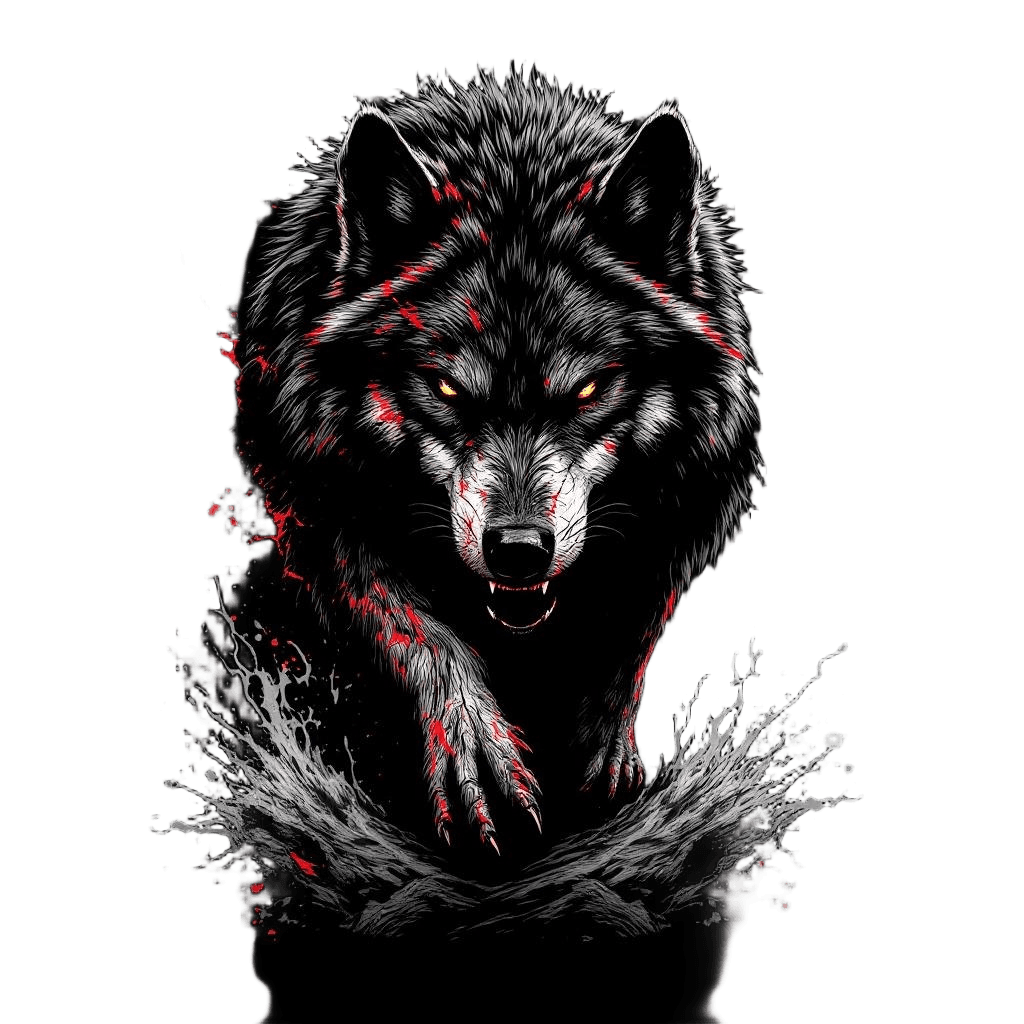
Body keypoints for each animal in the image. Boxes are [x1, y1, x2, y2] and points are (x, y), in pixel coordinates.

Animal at [203, 60, 765, 861]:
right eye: (445, 387)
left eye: (588, 388)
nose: (519, 550)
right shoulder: (319, 503)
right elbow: (415, 632)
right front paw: (478, 761)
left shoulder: (693, 507)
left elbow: (629, 637)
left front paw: (600, 759)